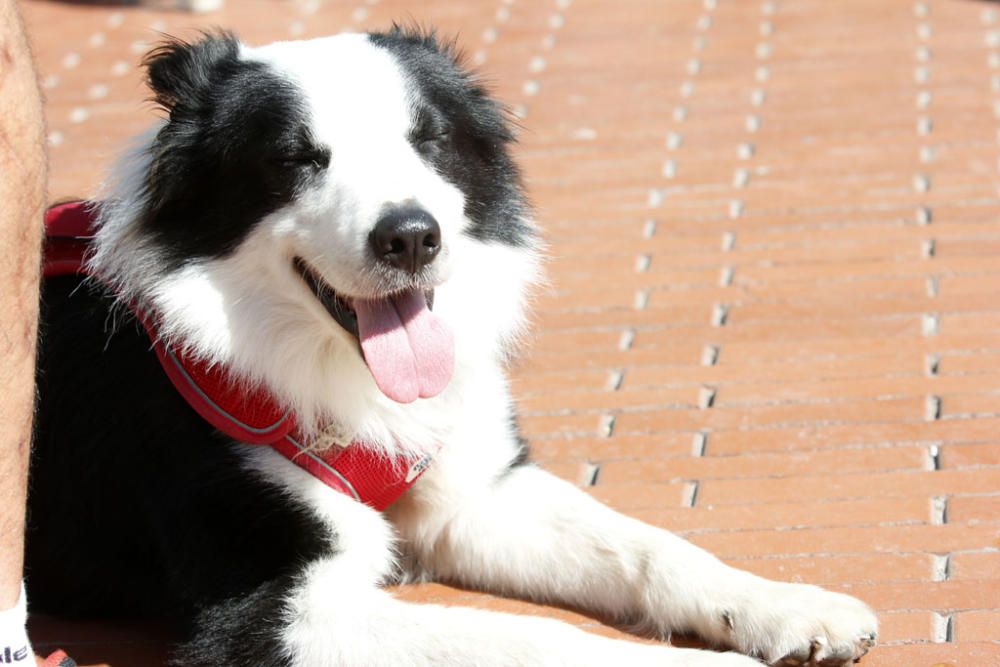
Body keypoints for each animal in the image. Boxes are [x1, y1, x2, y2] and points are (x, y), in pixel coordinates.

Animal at [27, 27, 880, 667]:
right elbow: (537, 638)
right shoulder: (268, 613)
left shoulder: (474, 495)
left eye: (428, 140)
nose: (409, 236)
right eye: (298, 158)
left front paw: (789, 603)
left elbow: (653, 547)